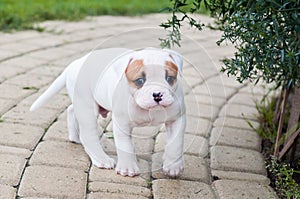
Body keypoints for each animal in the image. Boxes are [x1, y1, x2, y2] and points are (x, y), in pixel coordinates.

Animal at [30, 48, 185, 177]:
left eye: (169, 78)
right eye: (140, 81)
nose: (157, 94)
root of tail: (74, 64)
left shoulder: (177, 119)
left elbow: (176, 143)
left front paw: (173, 166)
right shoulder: (122, 123)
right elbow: (125, 146)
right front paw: (128, 168)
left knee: (71, 110)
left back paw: (74, 137)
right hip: (87, 106)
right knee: (88, 135)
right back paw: (101, 159)